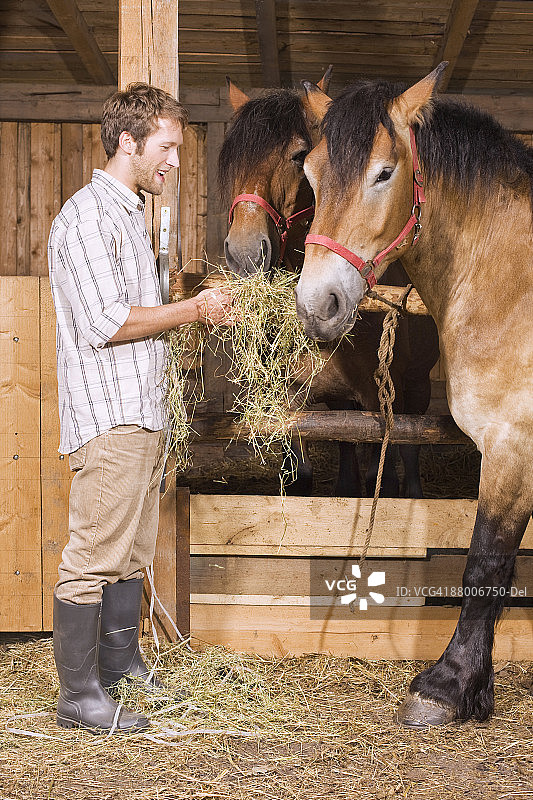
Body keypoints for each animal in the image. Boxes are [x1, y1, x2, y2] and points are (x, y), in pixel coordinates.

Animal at [219, 76, 439, 498]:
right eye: (229, 160)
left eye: (298, 156)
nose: (244, 254)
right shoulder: (290, 402)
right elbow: (301, 473)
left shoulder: (377, 397)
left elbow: (384, 472)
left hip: (416, 387)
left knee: (411, 446)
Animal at [295, 64, 533, 727]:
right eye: (311, 173)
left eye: (384, 172)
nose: (317, 303)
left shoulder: (514, 444)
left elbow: (486, 560)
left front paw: (447, 687)